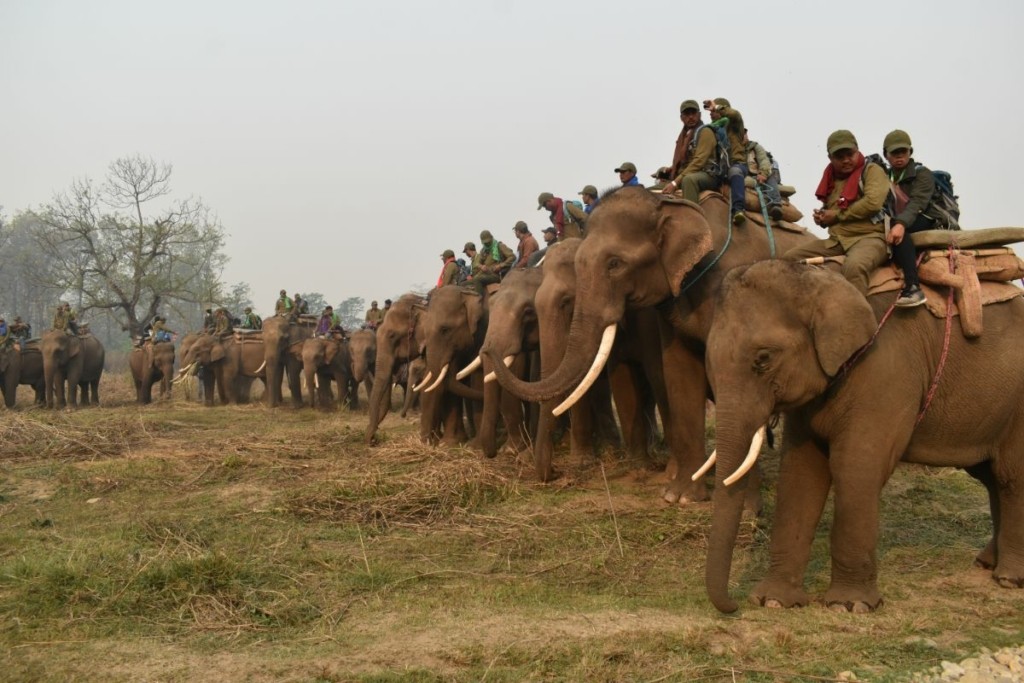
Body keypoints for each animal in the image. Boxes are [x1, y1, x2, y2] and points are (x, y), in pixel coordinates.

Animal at [487, 187, 815, 501]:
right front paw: (673, 490)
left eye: (615, 264)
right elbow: (666, 372)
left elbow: (662, 374)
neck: (669, 206)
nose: (551, 474)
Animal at [700, 260, 1024, 614]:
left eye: (763, 359)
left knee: (1011, 477)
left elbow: (855, 469)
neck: (824, 279)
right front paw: (773, 601)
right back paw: (987, 563)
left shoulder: (885, 372)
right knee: (992, 477)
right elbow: (801, 472)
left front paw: (849, 605)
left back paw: (1009, 579)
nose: (734, 604)